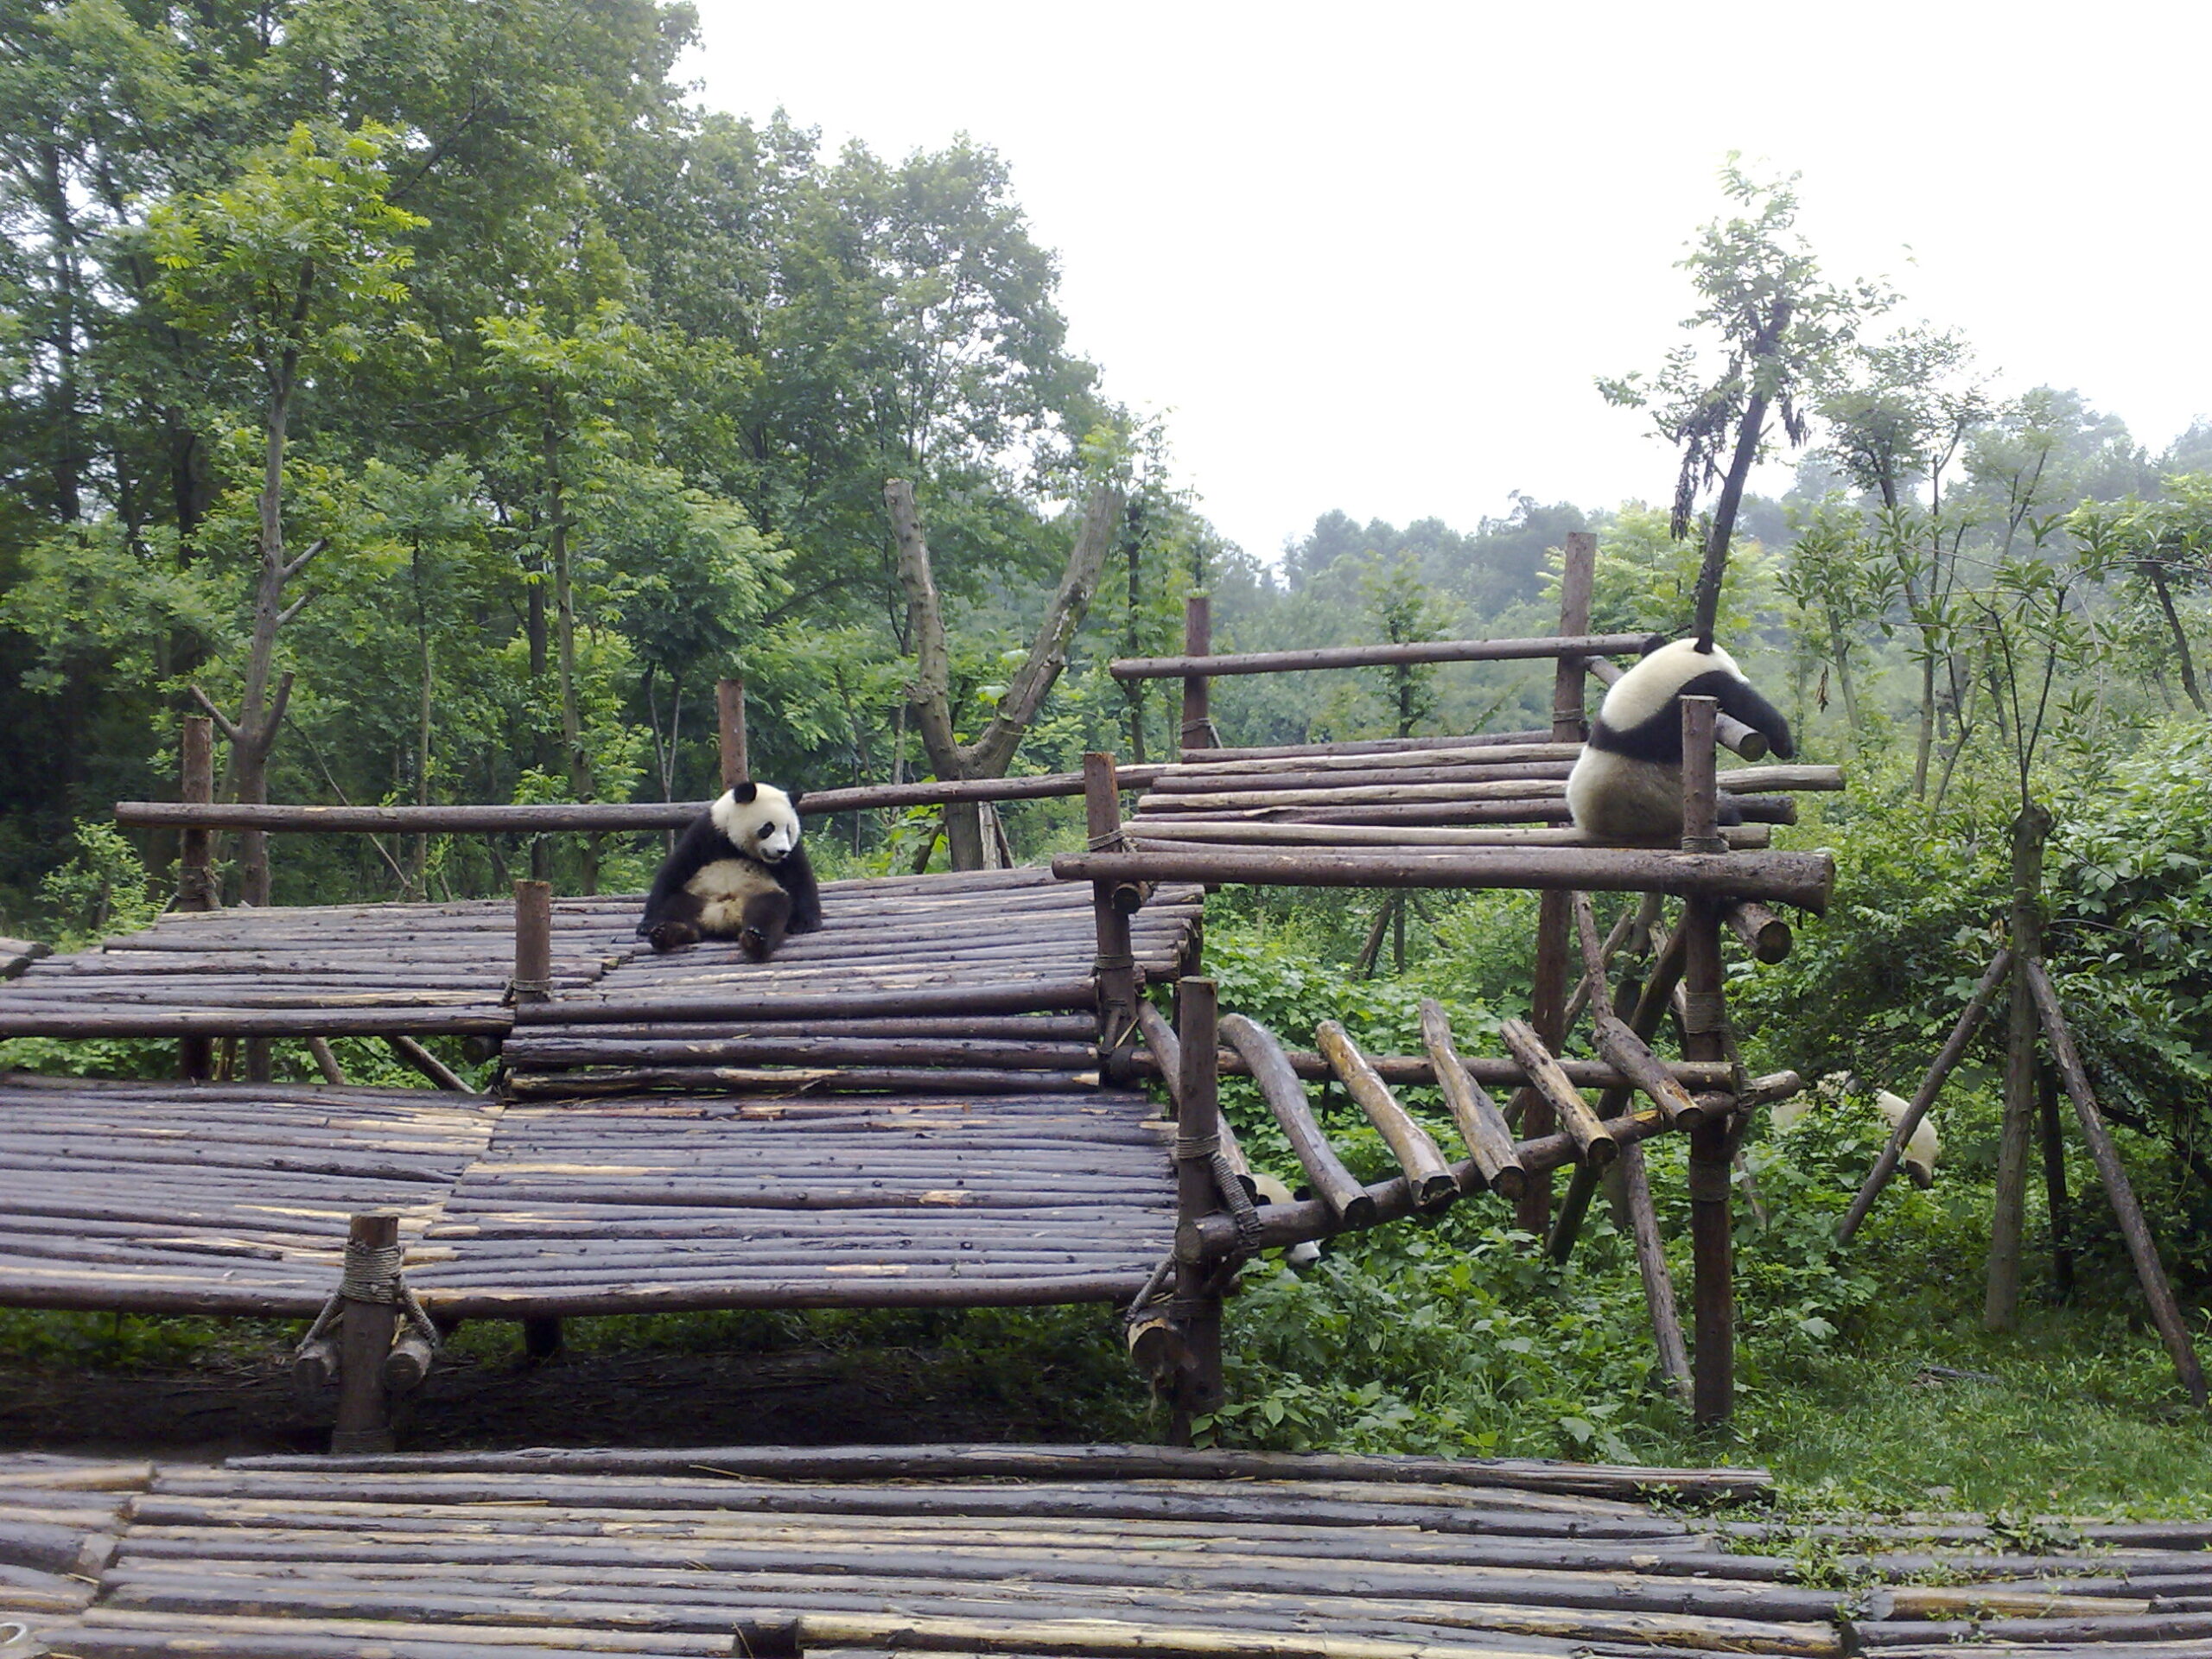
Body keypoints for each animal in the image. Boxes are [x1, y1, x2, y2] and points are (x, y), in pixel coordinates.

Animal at [637, 781, 823, 959]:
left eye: (788, 830)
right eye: (768, 828)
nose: (781, 851)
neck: (736, 846)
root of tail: (724, 918)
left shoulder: (792, 851)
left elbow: (798, 878)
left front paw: (806, 923)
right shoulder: (707, 832)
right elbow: (674, 871)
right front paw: (647, 925)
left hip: (759, 892)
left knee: (770, 909)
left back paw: (755, 940)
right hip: (698, 895)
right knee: (677, 905)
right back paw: (669, 932)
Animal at [1564, 636, 1795, 842]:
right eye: (1733, 665)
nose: (1746, 679)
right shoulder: (1689, 693)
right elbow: (1745, 704)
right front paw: (1784, 745)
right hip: (1665, 808)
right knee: (1723, 808)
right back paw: (1731, 814)